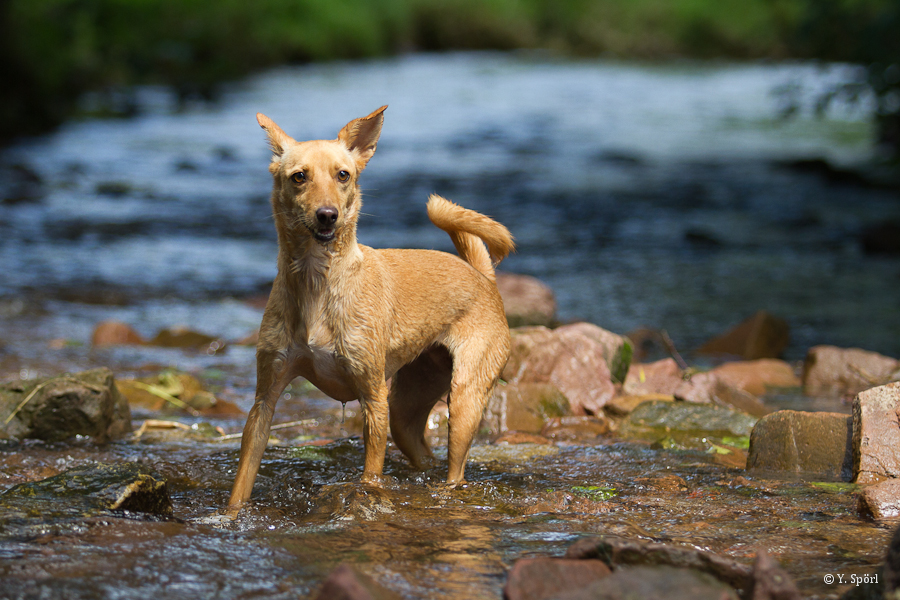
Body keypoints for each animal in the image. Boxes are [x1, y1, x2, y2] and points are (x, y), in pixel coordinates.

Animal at [227, 105, 512, 512]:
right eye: (299, 177)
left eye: (343, 175)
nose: (327, 214)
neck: (319, 281)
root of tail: (482, 277)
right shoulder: (263, 402)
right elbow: (243, 480)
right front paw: (228, 516)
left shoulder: (373, 399)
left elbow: (371, 473)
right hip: (406, 410)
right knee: (424, 455)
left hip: (464, 402)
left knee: (455, 470)